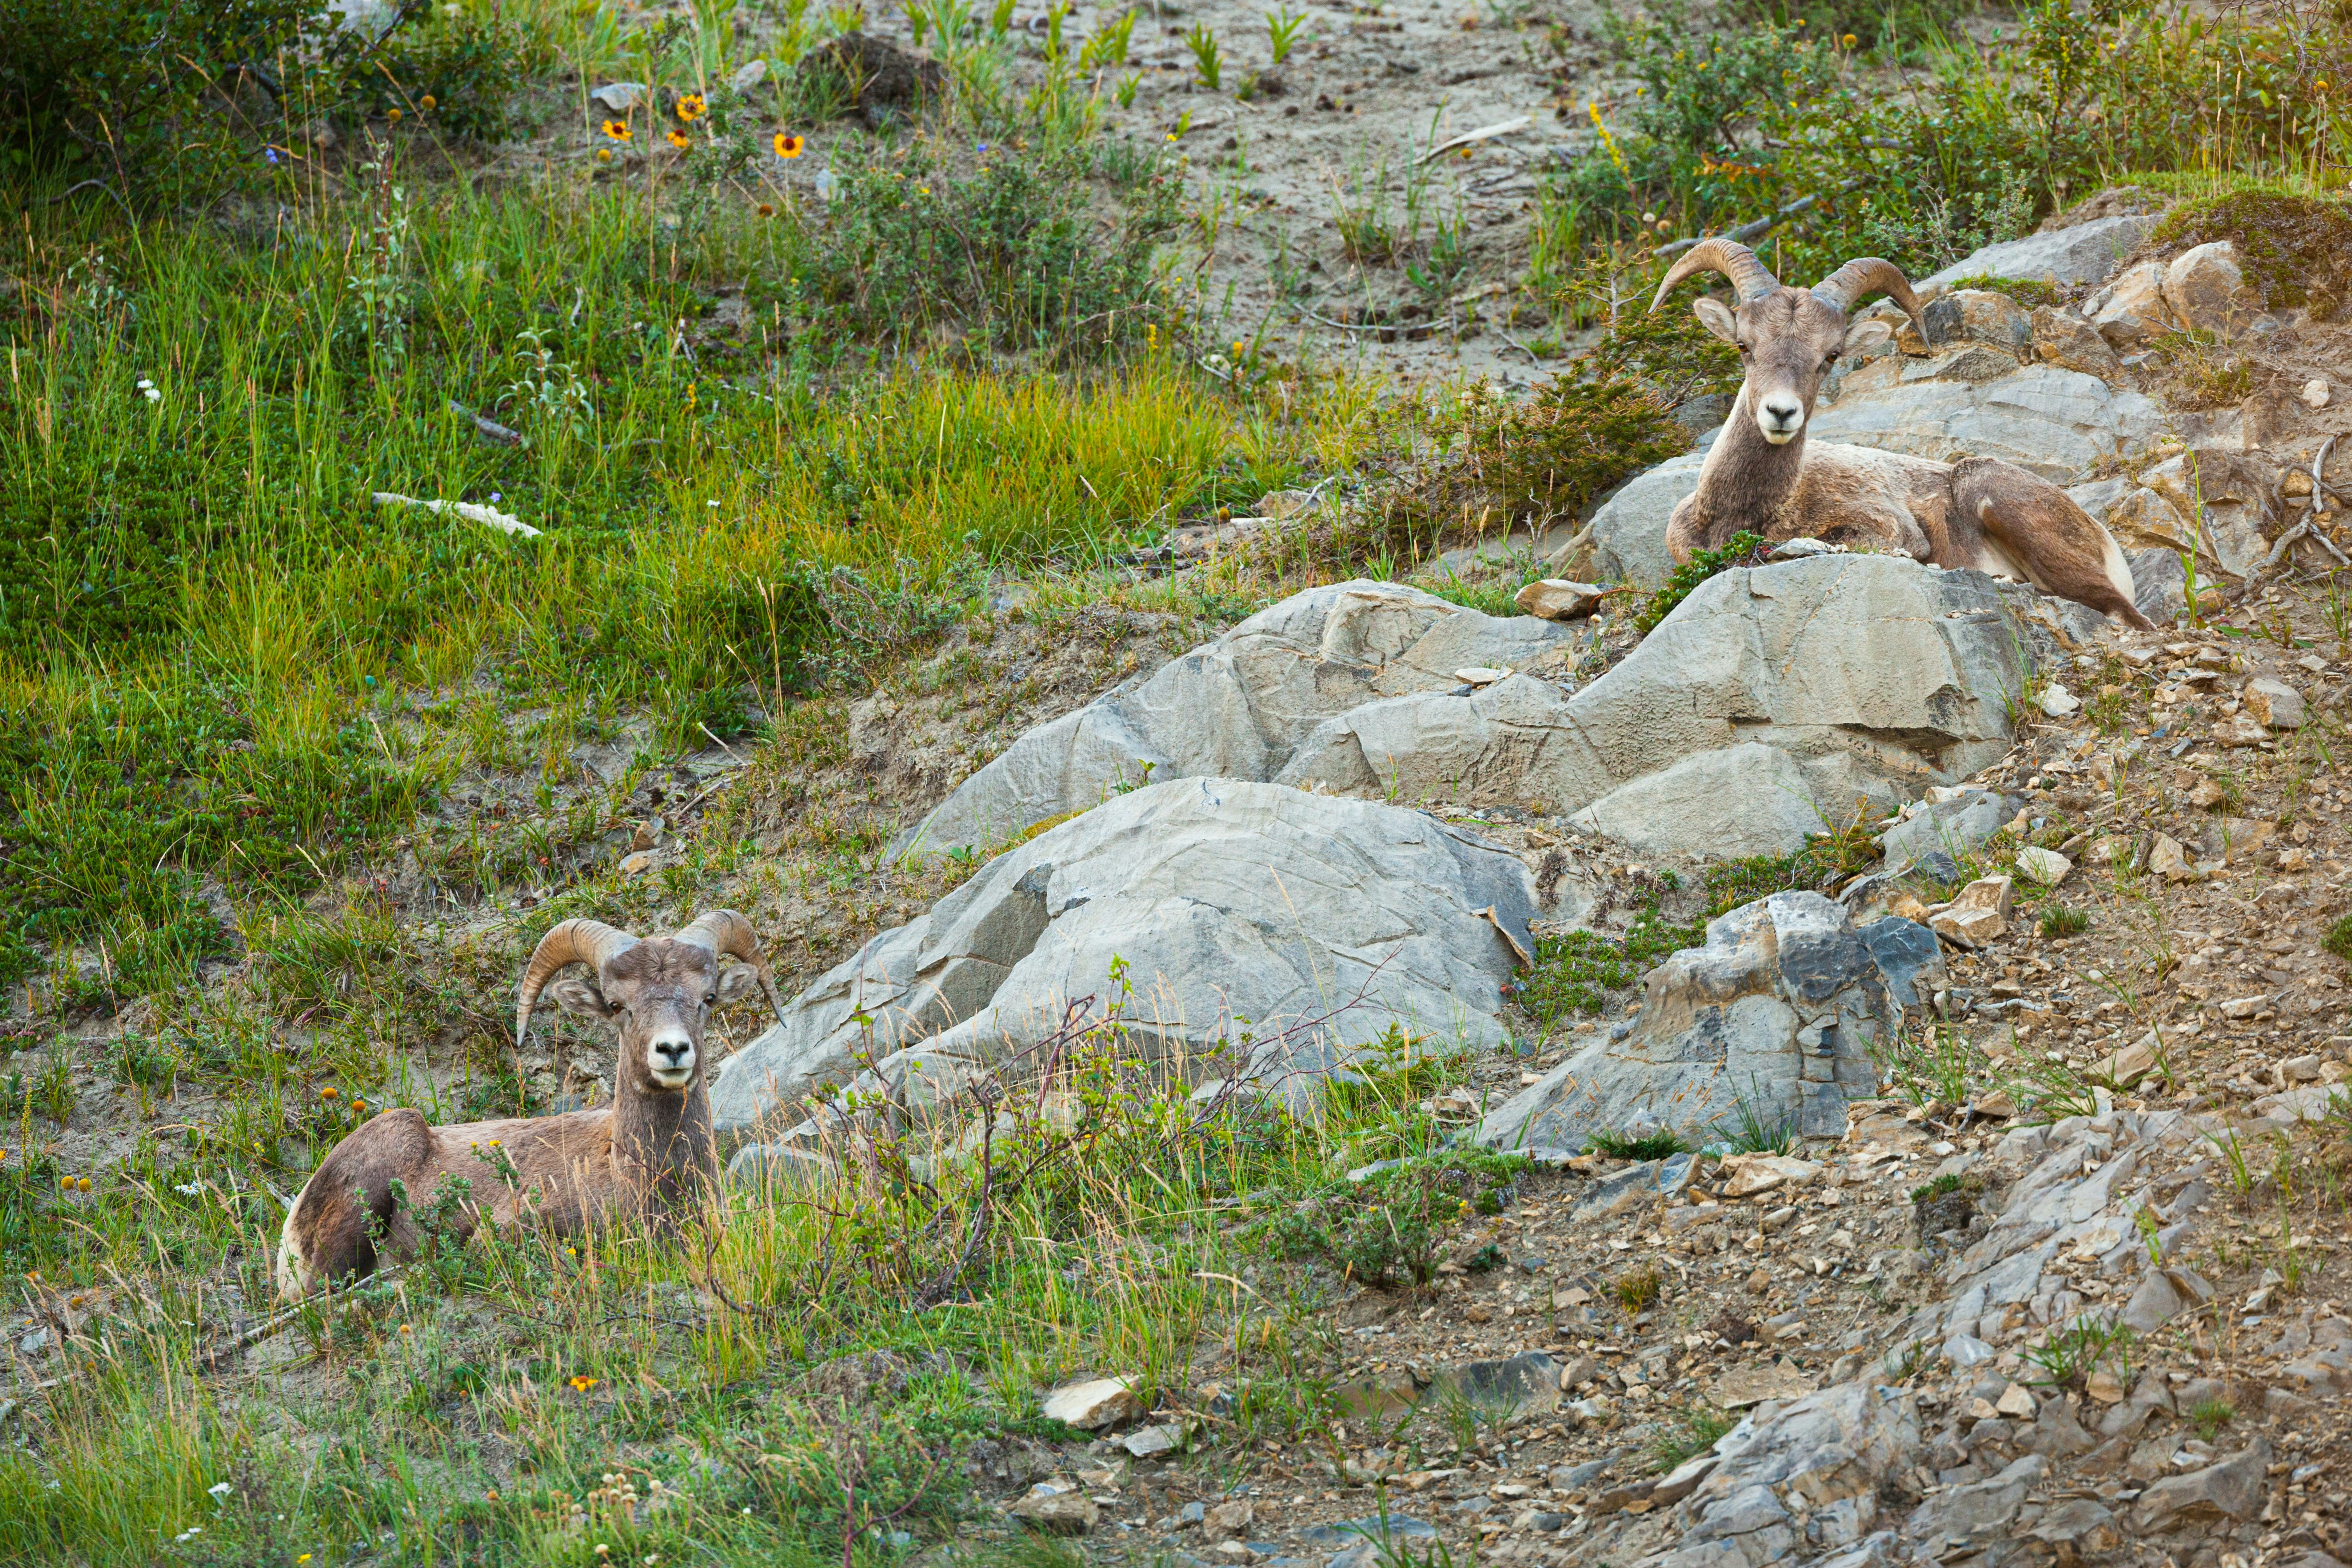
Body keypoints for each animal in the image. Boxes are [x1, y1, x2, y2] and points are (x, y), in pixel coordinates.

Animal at [1652, 238, 2154, 630]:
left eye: (1830, 356)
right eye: (1744, 346)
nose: (1780, 413)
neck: (1748, 511)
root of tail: (2103, 540)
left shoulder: (1892, 531)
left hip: (1994, 497)